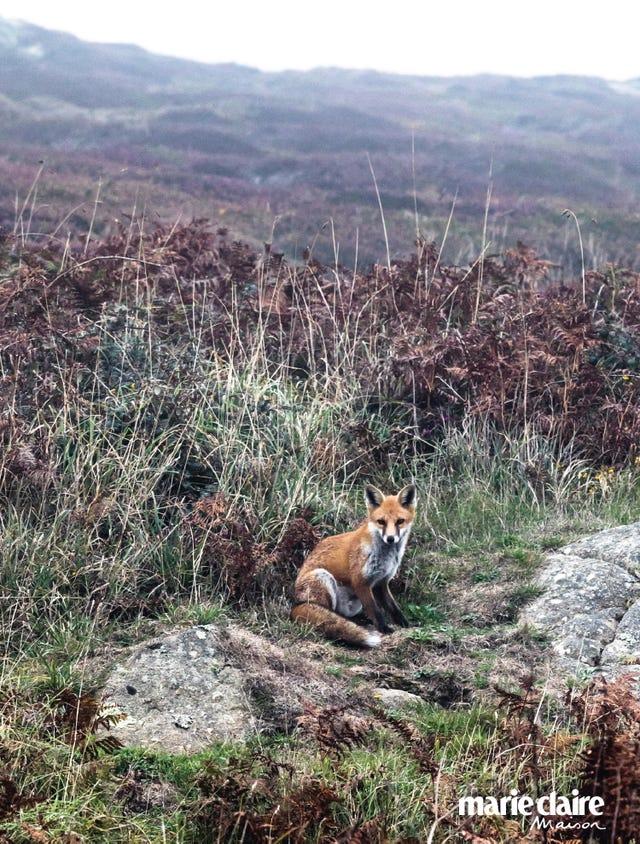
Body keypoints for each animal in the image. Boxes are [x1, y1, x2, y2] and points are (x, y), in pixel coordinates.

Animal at [291, 483, 417, 647]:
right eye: (381, 522)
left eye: (400, 521)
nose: (390, 538)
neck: (386, 556)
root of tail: (296, 605)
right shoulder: (360, 581)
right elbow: (375, 610)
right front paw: (384, 628)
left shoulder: (382, 582)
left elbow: (394, 608)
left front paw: (405, 624)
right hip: (323, 577)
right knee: (329, 615)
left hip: (354, 605)